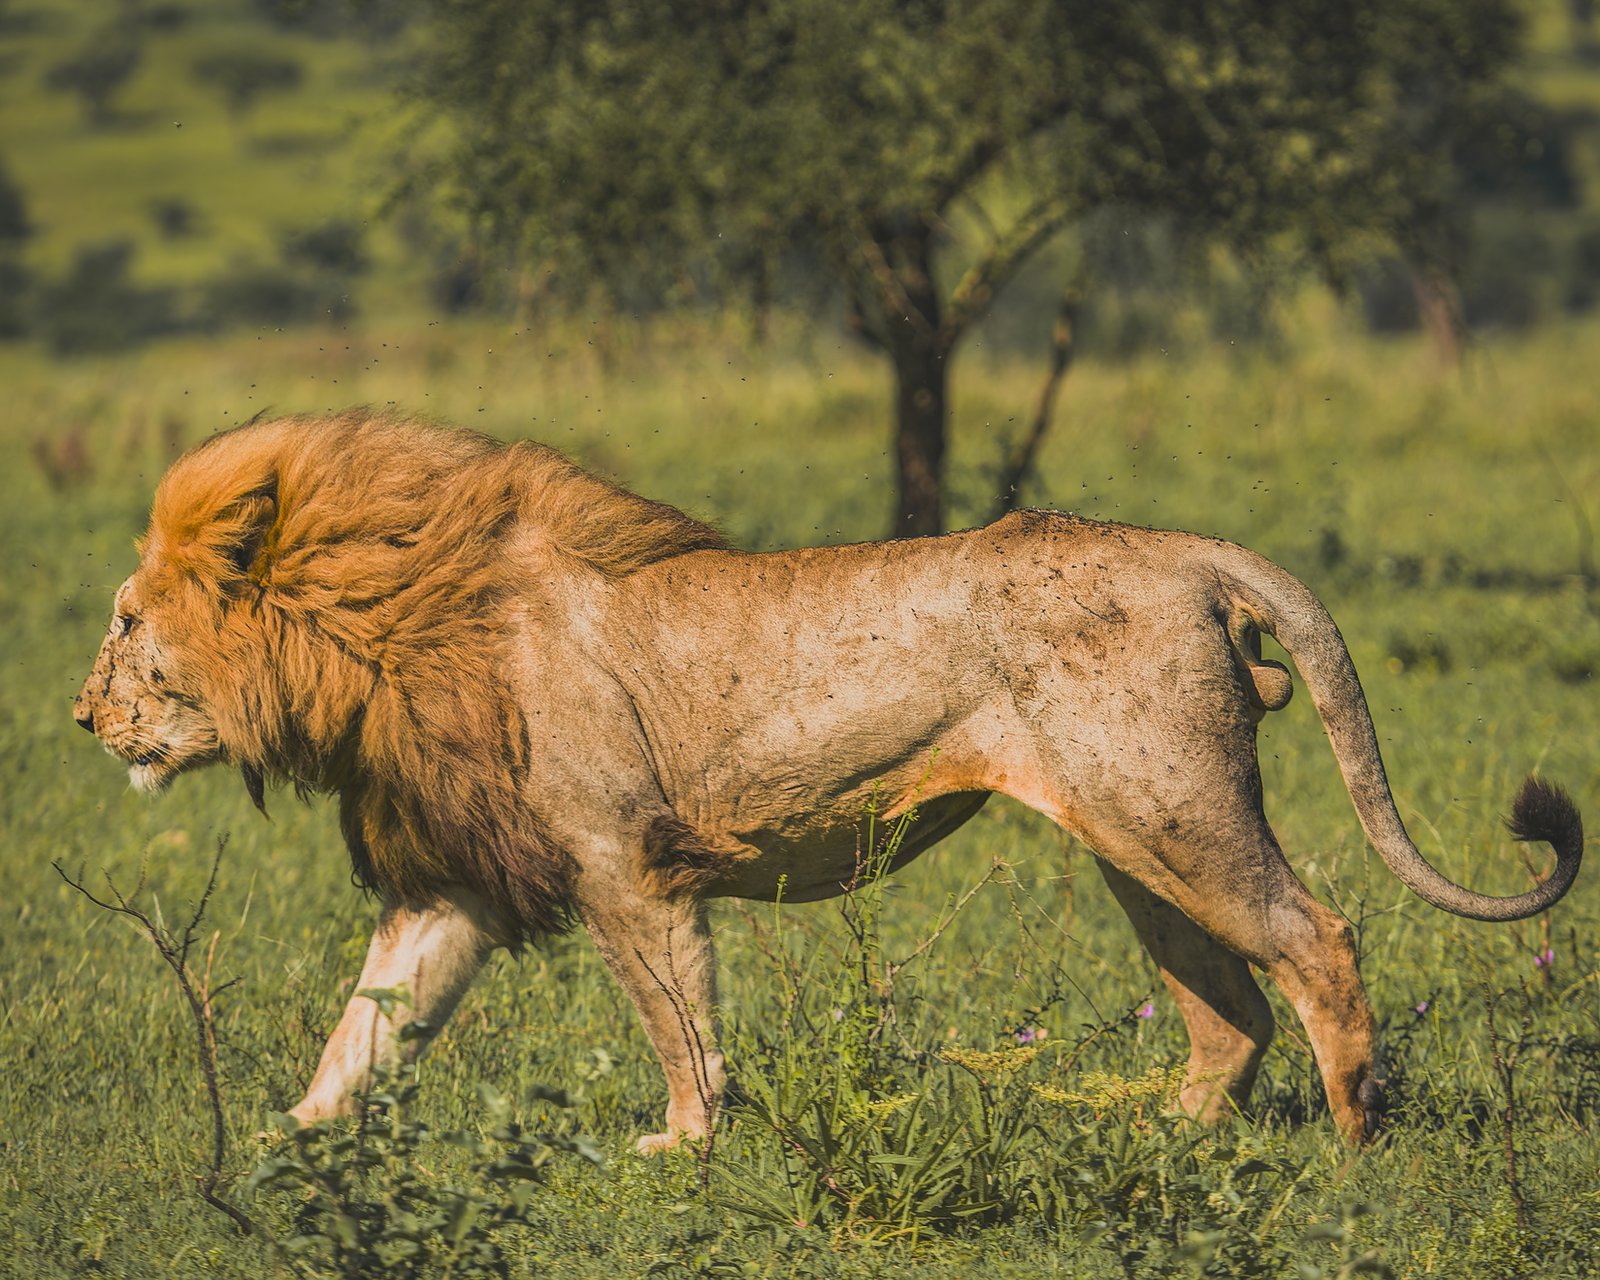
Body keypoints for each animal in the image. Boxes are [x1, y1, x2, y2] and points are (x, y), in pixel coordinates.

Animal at [74, 410, 1583, 1149]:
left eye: (128, 622)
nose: (82, 715)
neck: (382, 631)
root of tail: (1189, 548)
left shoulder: (622, 858)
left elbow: (677, 1018)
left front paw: (686, 1148)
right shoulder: (460, 881)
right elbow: (367, 1027)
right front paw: (285, 1144)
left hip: (1173, 812)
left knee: (1318, 941)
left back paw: (1353, 1135)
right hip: (1134, 833)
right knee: (1227, 1012)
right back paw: (1160, 1137)